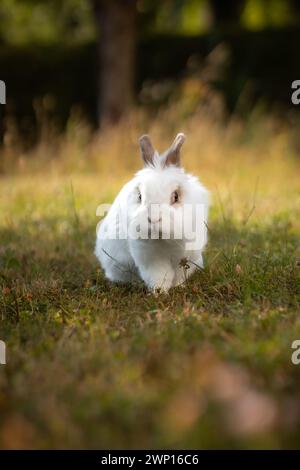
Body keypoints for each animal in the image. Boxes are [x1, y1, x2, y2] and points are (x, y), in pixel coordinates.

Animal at [95, 132, 210, 292]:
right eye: (140, 196)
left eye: (176, 196)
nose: (153, 219)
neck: (163, 240)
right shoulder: (151, 258)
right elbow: (159, 276)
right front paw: (159, 292)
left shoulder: (186, 255)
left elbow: (179, 276)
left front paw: (178, 287)